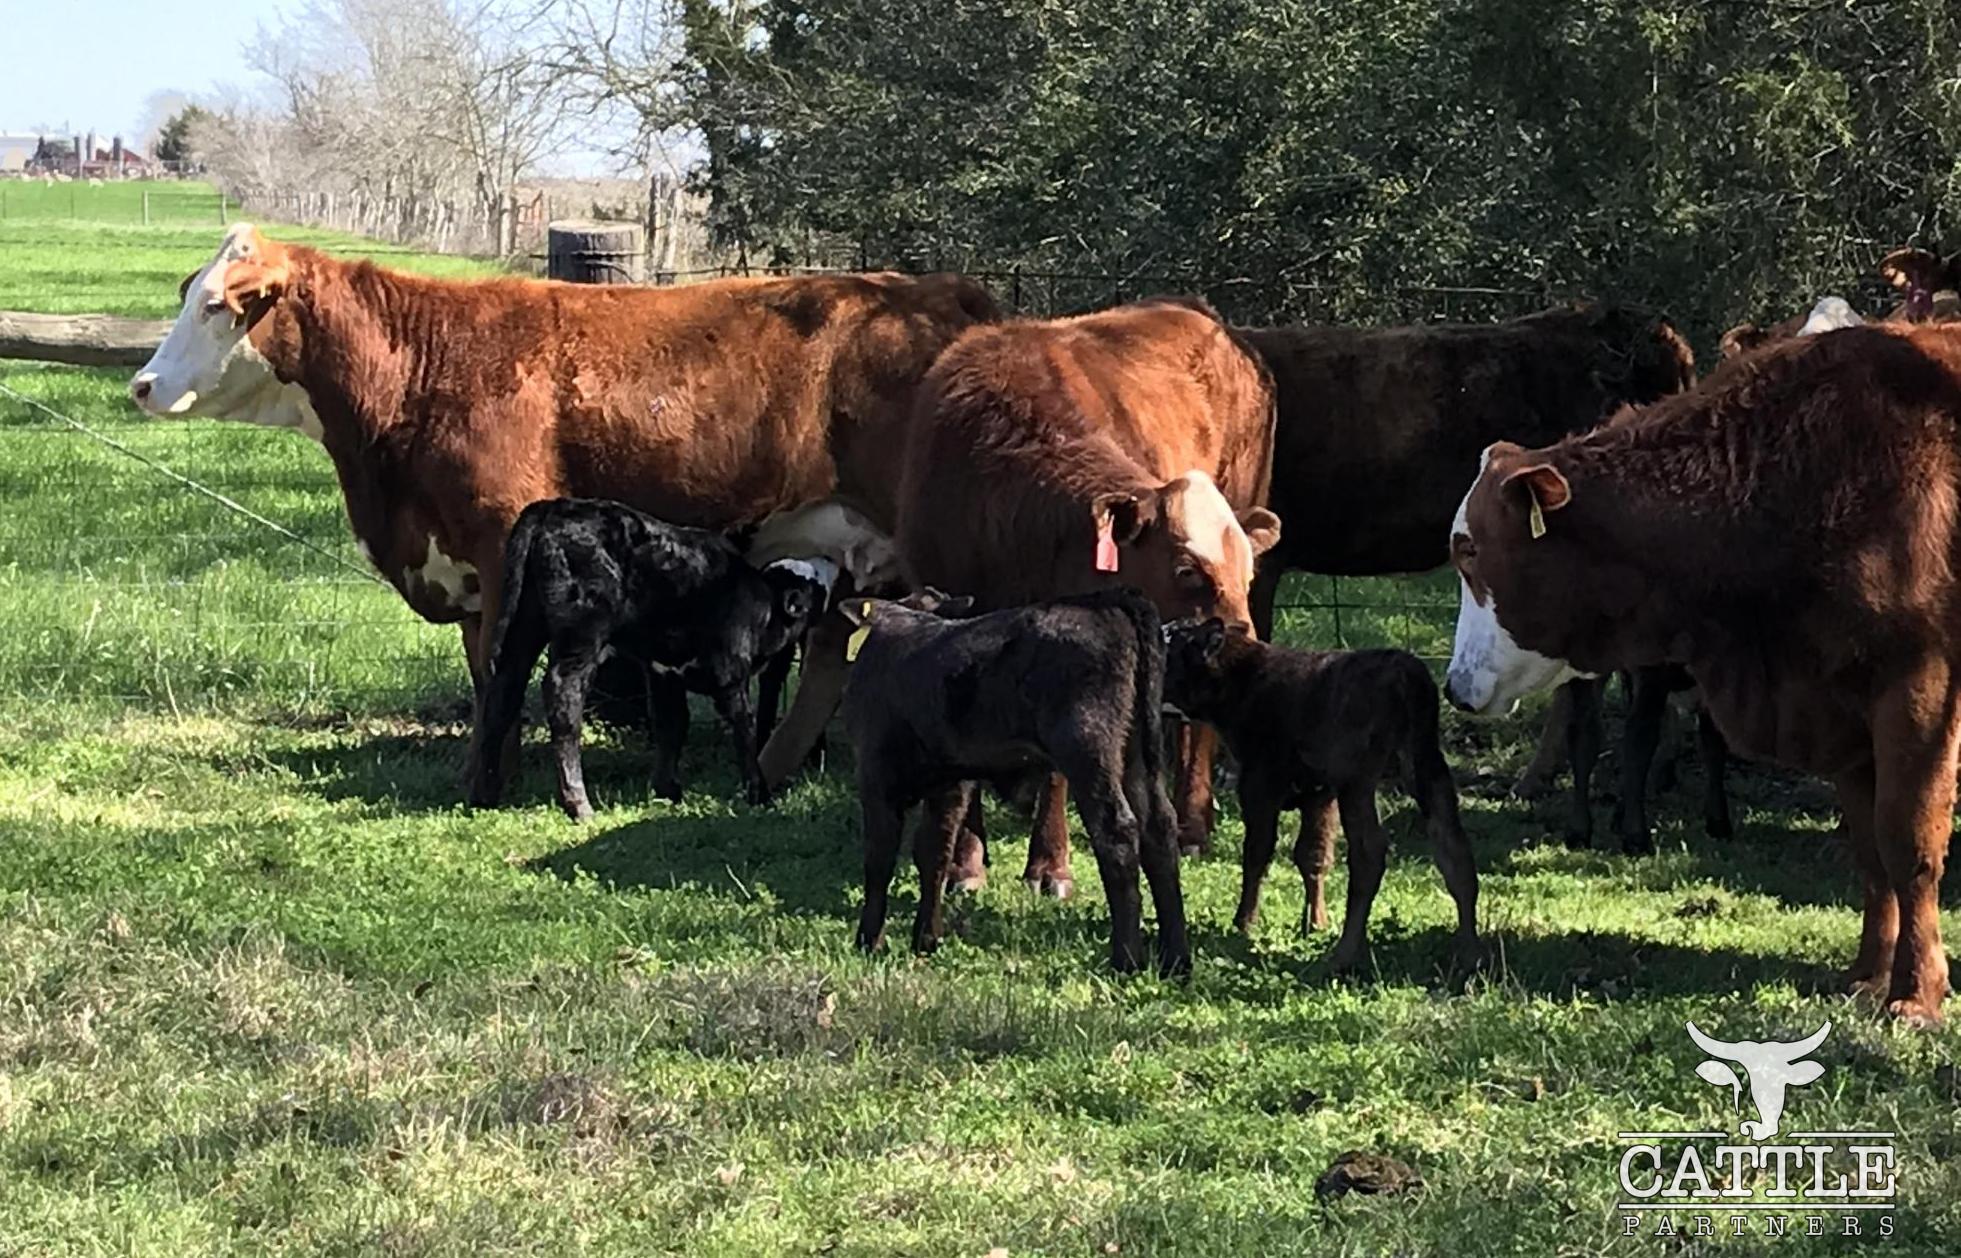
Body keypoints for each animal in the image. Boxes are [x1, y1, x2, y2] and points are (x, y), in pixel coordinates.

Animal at [126, 220, 996, 779]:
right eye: (191, 294)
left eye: (217, 306)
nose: (142, 384)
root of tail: (940, 292)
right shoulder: (464, 565)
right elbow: (487, 675)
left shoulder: (495, 540)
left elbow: (501, 673)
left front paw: (494, 780)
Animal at [474, 493, 843, 819]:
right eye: (812, 582)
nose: (831, 561)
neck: (760, 603)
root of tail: (553, 508)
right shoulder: (729, 674)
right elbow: (745, 729)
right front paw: (759, 792)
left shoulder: (664, 673)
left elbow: (672, 724)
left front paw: (667, 790)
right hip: (581, 634)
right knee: (563, 697)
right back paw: (579, 804)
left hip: (523, 625)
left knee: (503, 691)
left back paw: (485, 795)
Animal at [839, 583, 1184, 975]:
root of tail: (1107, 599)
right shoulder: (950, 783)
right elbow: (933, 853)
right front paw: (926, 938)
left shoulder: (874, 775)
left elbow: (879, 857)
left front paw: (868, 939)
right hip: (1137, 753)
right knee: (1158, 828)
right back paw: (1176, 958)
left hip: (1089, 746)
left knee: (1117, 830)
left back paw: (1126, 958)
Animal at [894, 297, 1286, 897]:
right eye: (1185, 570)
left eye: (1245, 574)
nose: (1244, 644)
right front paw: (967, 862)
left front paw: (1049, 865)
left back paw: (1192, 825)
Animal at [1443, 317, 1961, 1026]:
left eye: (1469, 552)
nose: (1454, 687)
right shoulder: (1839, 704)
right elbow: (1870, 851)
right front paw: (1867, 975)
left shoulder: (1917, 686)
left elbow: (1907, 844)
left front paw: (1916, 991)